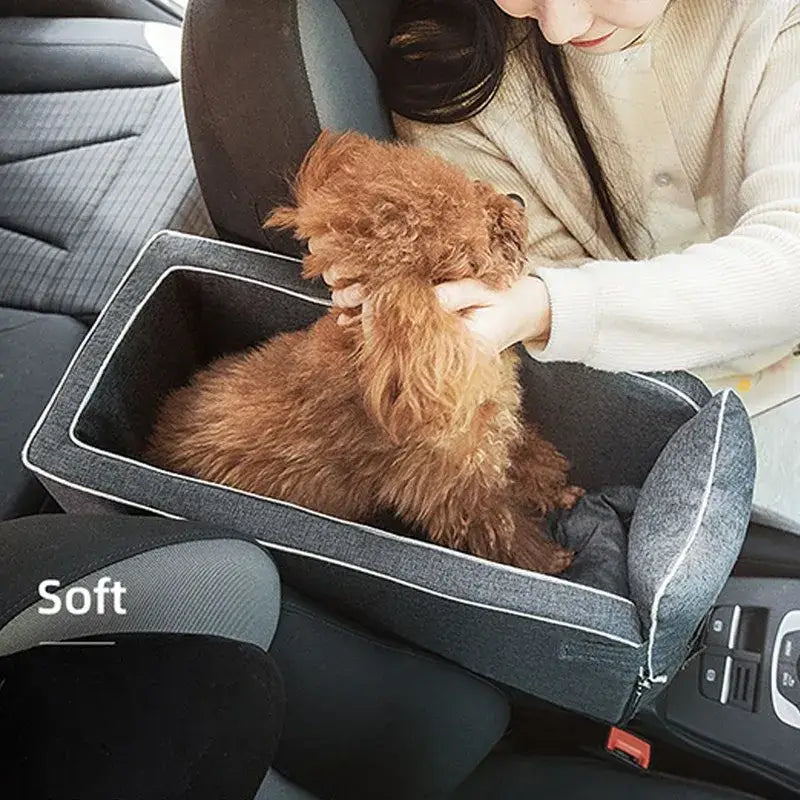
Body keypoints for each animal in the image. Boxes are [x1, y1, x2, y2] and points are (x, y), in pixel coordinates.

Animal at [145, 130, 580, 568]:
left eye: (473, 183)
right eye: (481, 240)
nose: (518, 200)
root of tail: (157, 436)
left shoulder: (496, 435)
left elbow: (526, 459)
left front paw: (558, 492)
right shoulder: (453, 490)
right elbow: (505, 533)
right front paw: (552, 561)